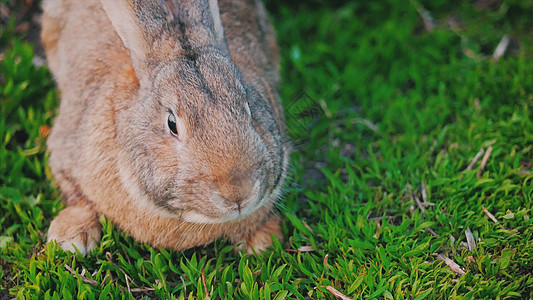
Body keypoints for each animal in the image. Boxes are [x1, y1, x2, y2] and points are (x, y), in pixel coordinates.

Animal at [40, 0, 290, 255]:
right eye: (172, 124)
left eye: (248, 104)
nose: (238, 192)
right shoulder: (66, 148)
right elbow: (76, 197)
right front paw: (71, 237)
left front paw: (261, 240)